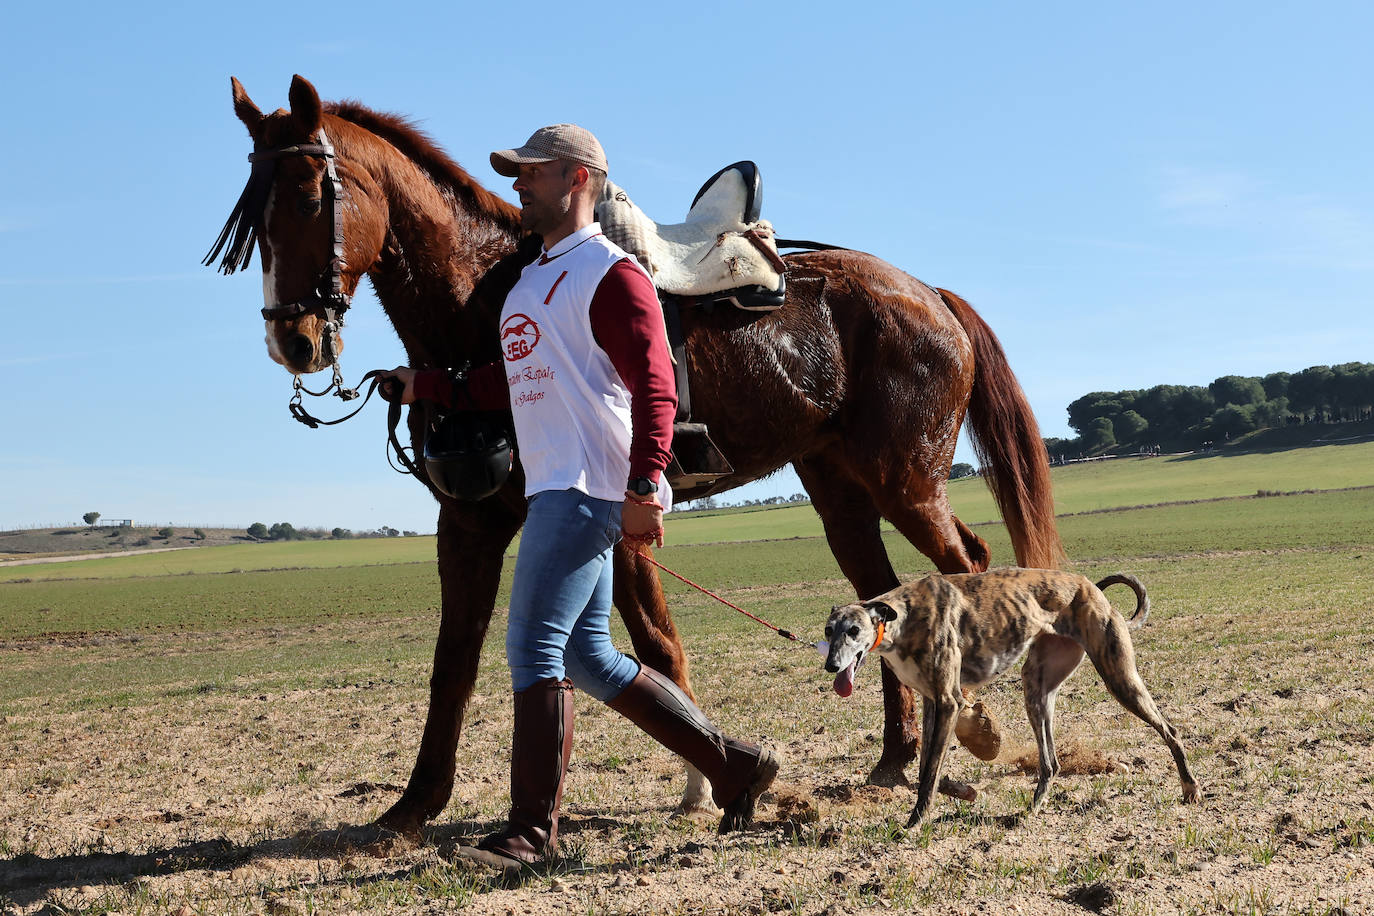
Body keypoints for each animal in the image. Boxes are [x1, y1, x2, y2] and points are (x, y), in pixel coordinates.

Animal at [211, 78, 1060, 840]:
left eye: (310, 195)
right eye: (252, 210)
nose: (292, 339)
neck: (480, 309)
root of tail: (928, 294)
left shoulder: (609, 519)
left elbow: (653, 642)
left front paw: (704, 783)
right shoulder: (472, 522)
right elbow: (458, 659)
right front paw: (415, 806)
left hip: (906, 482)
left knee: (968, 566)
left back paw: (970, 728)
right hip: (841, 491)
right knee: (877, 599)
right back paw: (893, 758)